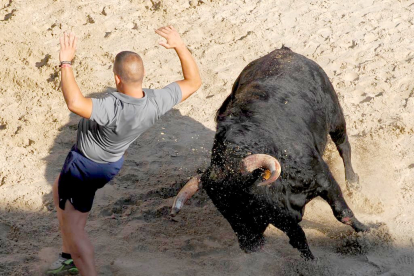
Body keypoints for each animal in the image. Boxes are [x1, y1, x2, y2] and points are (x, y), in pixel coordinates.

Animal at [171, 46, 368, 260]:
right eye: (222, 208)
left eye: (247, 200)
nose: (249, 246)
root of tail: (284, 51)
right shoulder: (281, 217)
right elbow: (298, 239)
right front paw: (310, 263)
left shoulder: (324, 180)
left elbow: (342, 213)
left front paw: (368, 230)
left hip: (335, 116)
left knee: (344, 147)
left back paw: (354, 182)